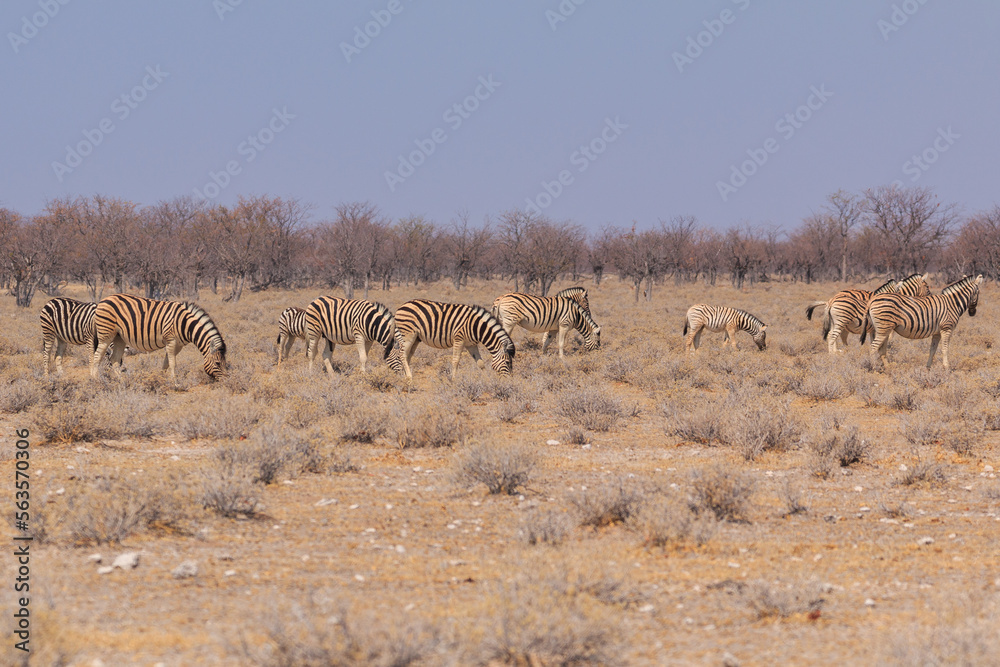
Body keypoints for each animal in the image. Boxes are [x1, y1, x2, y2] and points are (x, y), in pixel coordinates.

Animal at [91, 294, 228, 381]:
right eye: (217, 363)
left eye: (225, 363)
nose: (227, 381)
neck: (184, 324)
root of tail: (103, 300)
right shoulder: (171, 340)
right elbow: (172, 363)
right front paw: (175, 383)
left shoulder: (178, 345)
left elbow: (166, 363)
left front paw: (160, 378)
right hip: (106, 335)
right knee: (96, 357)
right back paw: (95, 380)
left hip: (119, 338)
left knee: (114, 359)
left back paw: (121, 380)